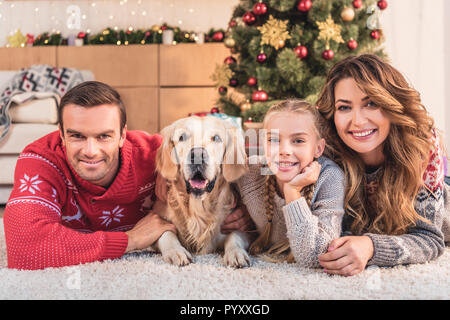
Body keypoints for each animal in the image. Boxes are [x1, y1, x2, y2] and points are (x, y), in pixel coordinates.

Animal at [151, 115, 250, 268]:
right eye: (182, 137)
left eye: (216, 138)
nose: (197, 155)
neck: (199, 207)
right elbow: (166, 233)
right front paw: (176, 251)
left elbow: (235, 236)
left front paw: (235, 253)